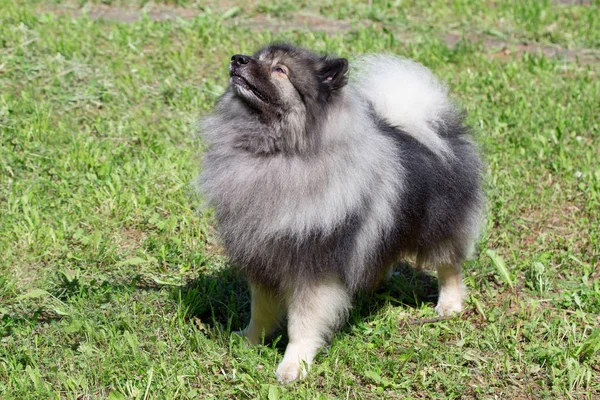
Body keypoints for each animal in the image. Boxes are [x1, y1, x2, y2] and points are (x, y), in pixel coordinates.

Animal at [199, 43, 486, 384]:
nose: (238, 59)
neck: (275, 153)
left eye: (280, 70)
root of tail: (435, 128)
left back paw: (449, 305)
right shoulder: (264, 260)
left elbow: (302, 323)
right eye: (258, 58)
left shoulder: (312, 267)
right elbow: (261, 310)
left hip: (438, 225)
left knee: (448, 265)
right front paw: (249, 340)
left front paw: (293, 365)